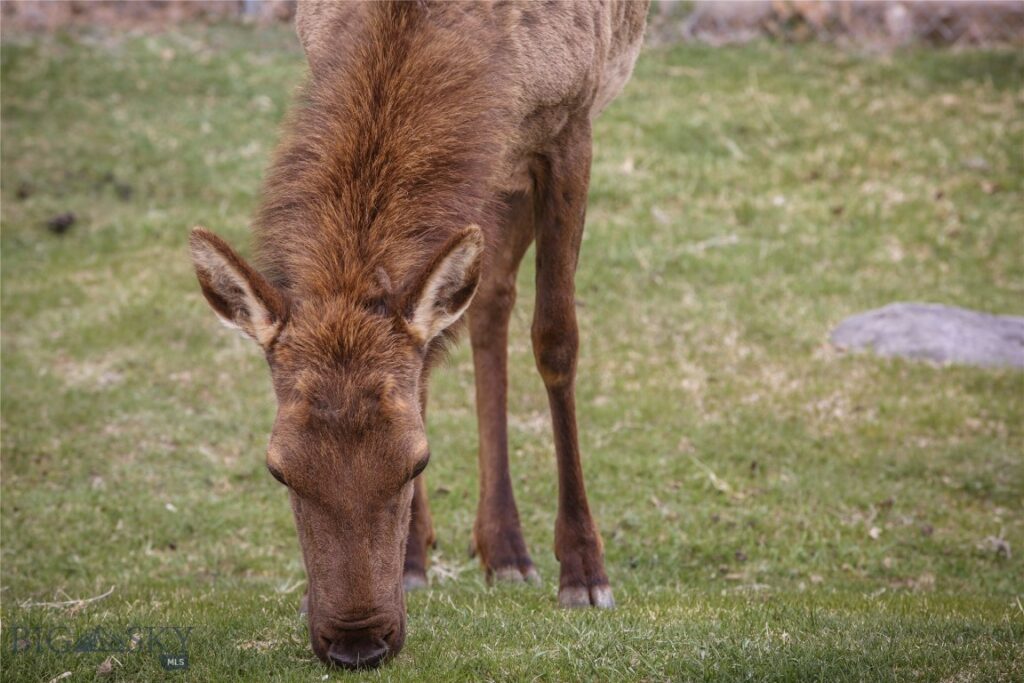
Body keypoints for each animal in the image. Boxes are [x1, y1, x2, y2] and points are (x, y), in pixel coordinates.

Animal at [188, 0, 643, 671]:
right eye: (278, 469)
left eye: (417, 460)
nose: (357, 643)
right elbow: (425, 361)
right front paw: (408, 564)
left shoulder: (569, 123)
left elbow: (557, 339)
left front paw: (585, 572)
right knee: (486, 301)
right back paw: (502, 547)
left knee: (497, 302)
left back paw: (514, 552)